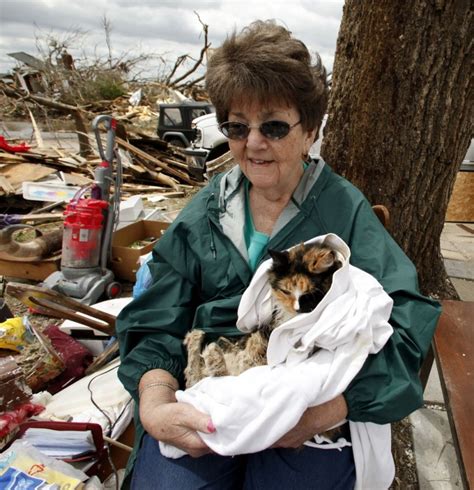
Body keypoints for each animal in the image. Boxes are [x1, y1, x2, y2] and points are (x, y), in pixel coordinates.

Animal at [183, 243, 342, 388]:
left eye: (308, 295)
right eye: (286, 291)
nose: (296, 309)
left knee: (206, 374)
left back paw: (208, 346)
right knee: (197, 374)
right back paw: (206, 339)